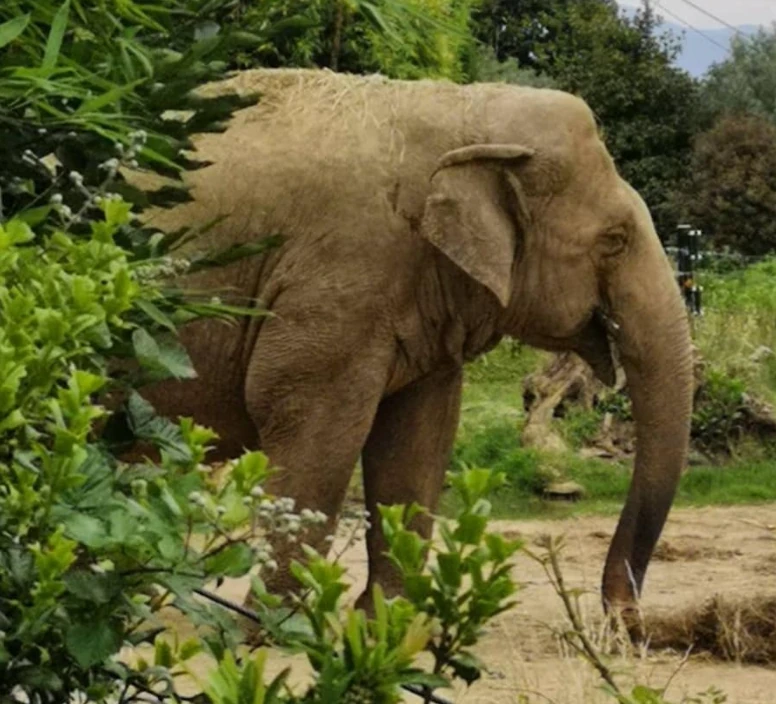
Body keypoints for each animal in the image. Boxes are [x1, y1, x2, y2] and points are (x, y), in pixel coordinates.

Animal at [141, 69, 696, 636]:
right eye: (615, 240)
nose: (627, 623)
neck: (463, 109)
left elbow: (417, 439)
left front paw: (387, 626)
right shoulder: (338, 282)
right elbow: (311, 429)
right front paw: (269, 631)